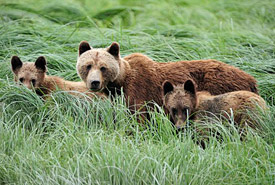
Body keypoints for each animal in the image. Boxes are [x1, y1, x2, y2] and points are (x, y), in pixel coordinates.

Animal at [77, 41, 258, 113]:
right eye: (88, 66)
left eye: (103, 67)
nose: (94, 82)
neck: (119, 83)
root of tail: (251, 78)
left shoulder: (139, 91)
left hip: (223, 88)